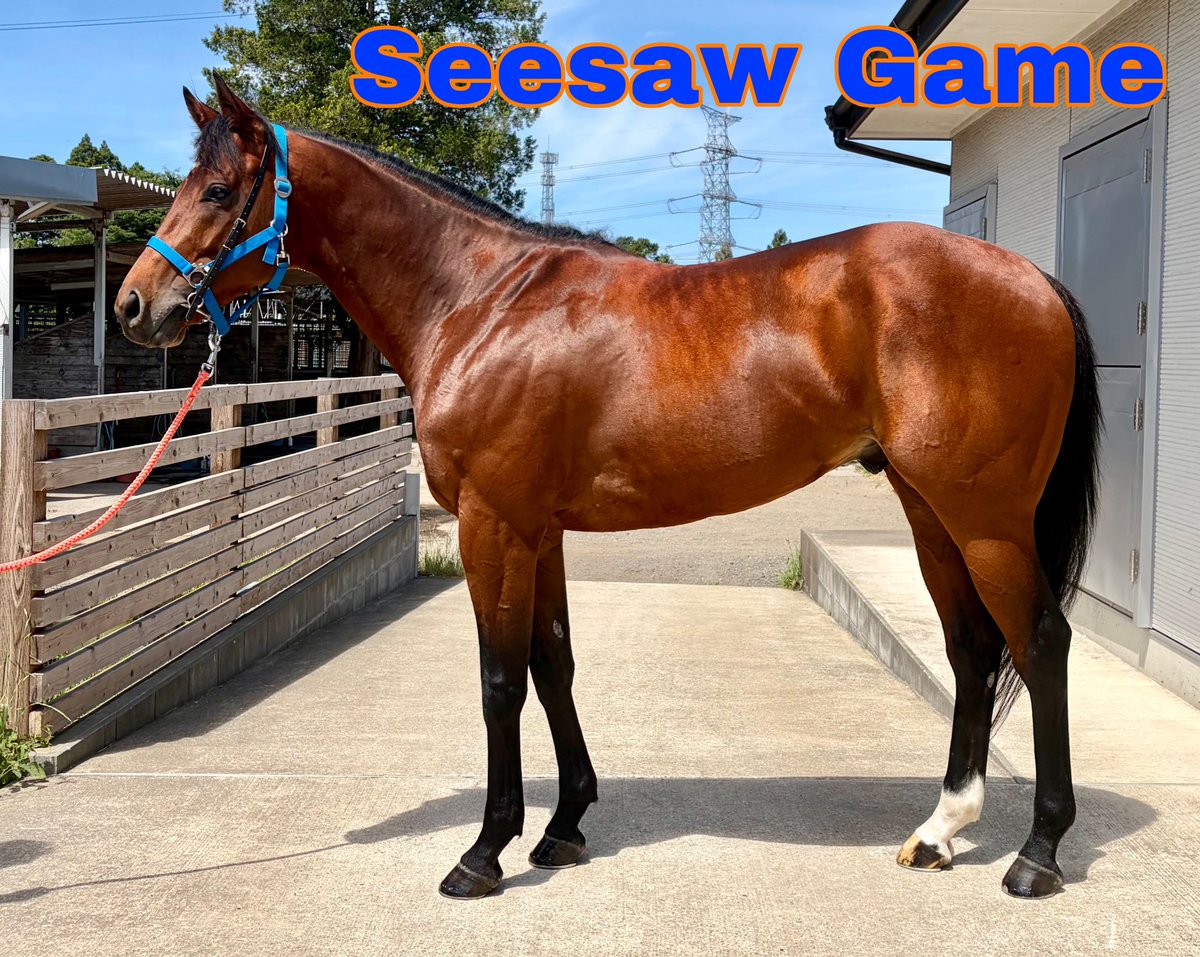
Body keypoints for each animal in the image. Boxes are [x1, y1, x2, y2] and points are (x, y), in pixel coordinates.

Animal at [114, 75, 1100, 901]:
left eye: (216, 190)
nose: (134, 305)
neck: (479, 302)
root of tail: (1033, 278)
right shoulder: (538, 529)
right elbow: (554, 663)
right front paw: (564, 825)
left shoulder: (492, 525)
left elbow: (500, 679)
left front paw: (485, 851)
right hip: (931, 509)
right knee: (972, 648)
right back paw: (940, 830)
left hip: (985, 518)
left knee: (1040, 642)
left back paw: (1037, 854)